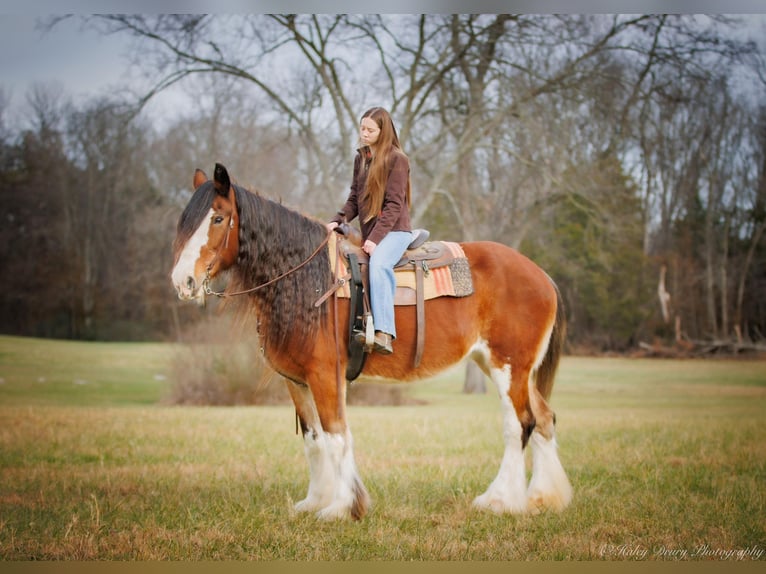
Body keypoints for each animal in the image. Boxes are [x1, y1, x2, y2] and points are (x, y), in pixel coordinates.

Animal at [171, 162, 572, 520]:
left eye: (218, 219)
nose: (182, 281)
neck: (309, 280)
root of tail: (541, 275)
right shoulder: (296, 381)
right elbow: (314, 440)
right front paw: (315, 501)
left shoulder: (325, 375)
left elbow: (335, 436)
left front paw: (342, 507)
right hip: (505, 367)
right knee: (543, 418)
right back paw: (543, 497)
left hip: (509, 367)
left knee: (518, 424)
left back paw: (500, 500)